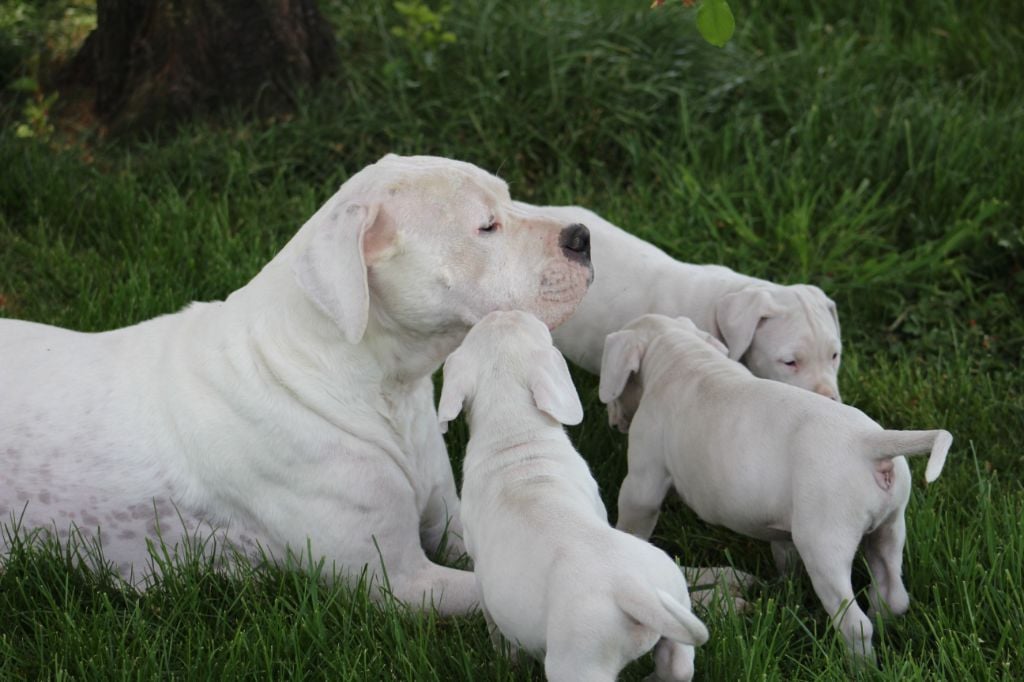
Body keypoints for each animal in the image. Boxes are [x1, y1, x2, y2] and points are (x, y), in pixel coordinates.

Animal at [0, 153, 593, 610]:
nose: (582, 236)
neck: (380, 389)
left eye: (510, 201)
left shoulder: (451, 524)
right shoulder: (401, 582)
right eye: (486, 226)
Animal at [440, 311, 712, 679]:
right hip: (675, 606)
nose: (504, 311)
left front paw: (503, 661)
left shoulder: (483, 578)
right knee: (677, 667)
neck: (513, 427)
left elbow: (497, 632)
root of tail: (633, 590)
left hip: (579, 661)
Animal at [598, 315, 950, 663]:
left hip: (825, 547)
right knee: (893, 594)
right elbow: (784, 553)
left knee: (856, 624)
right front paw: (784, 584)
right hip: (890, 527)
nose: (614, 421)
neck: (682, 355)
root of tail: (870, 443)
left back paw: (860, 667)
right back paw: (885, 628)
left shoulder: (643, 480)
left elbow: (635, 516)